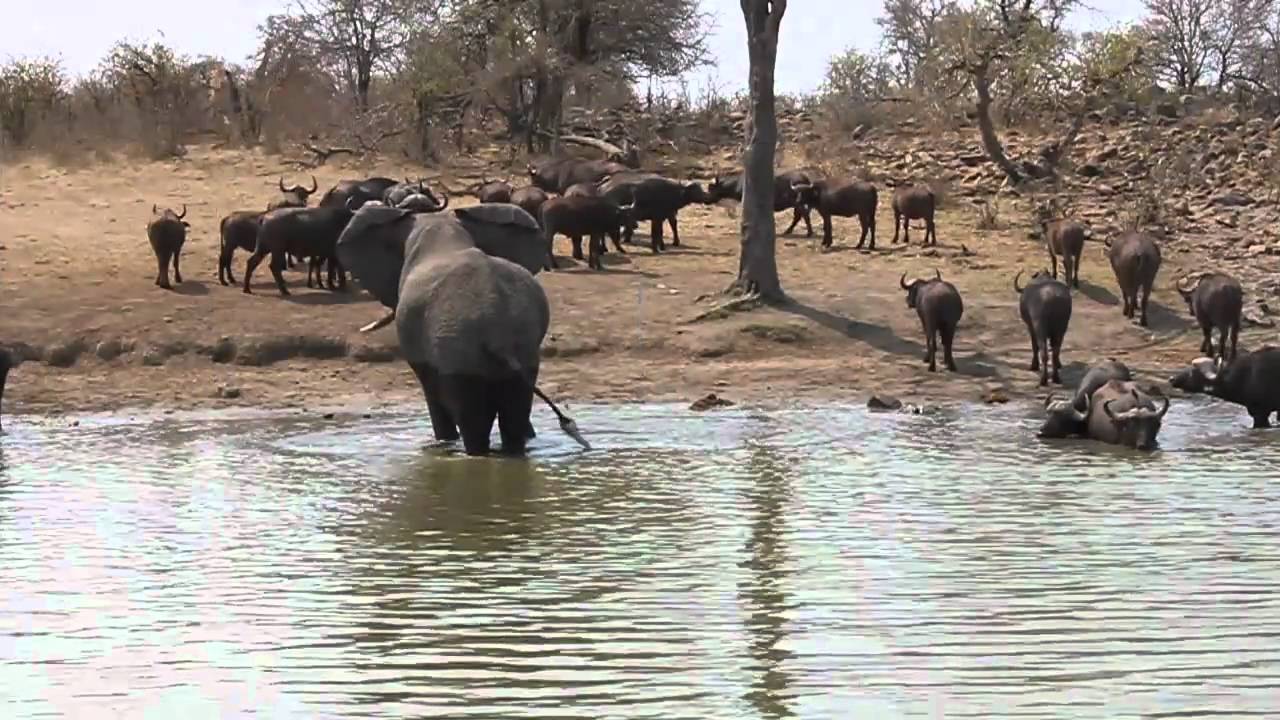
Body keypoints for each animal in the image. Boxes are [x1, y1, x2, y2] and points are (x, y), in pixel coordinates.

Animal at [336, 202, 590, 456]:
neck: (439, 225)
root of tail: (497, 331)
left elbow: (432, 394)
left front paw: (443, 443)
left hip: (459, 355)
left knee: (474, 422)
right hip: (522, 344)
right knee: (513, 415)